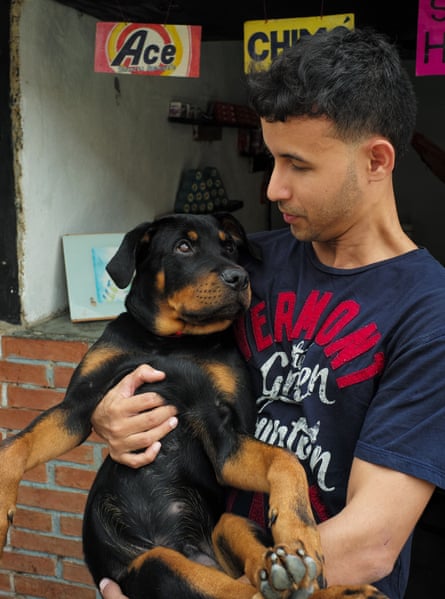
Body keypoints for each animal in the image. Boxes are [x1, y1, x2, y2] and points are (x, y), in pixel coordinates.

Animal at [0, 213, 386, 596]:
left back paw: (306, 575)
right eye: (183, 247)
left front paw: (299, 535)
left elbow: (285, 459)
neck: (171, 342)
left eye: (229, 247)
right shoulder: (80, 404)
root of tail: (188, 549)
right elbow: (18, 443)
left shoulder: (223, 432)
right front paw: (2, 509)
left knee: (244, 584)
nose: (239, 277)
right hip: (155, 563)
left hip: (209, 537)